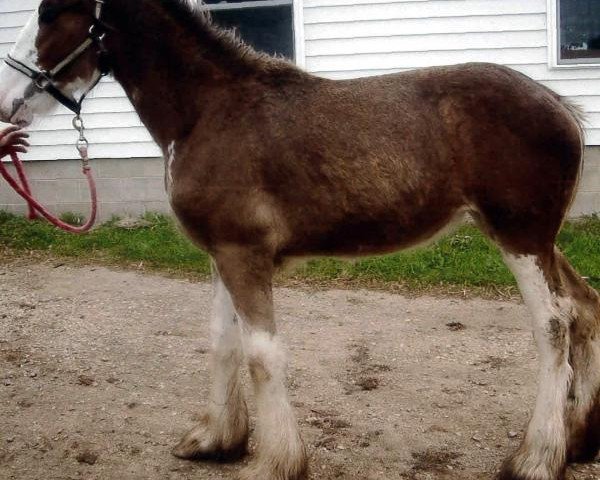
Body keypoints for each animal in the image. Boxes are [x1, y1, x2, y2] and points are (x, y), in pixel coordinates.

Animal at [1, 0, 600, 480]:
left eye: (49, 11)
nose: (8, 102)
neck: (209, 112)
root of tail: (562, 107)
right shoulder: (222, 255)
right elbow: (223, 342)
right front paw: (216, 441)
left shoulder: (244, 255)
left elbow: (263, 353)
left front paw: (275, 463)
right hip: (539, 239)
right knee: (585, 307)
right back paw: (577, 441)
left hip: (519, 236)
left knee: (554, 325)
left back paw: (535, 459)